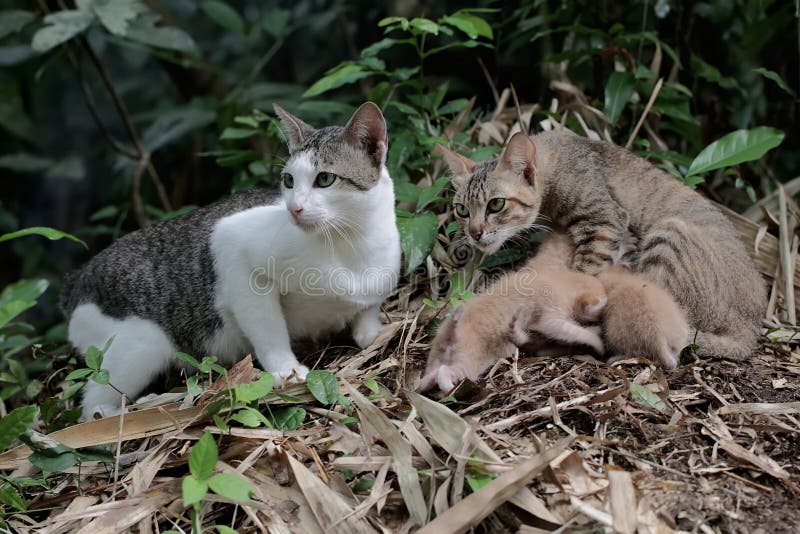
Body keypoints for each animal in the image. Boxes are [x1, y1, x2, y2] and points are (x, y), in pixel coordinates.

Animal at [61, 102, 400, 420]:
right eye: (289, 181)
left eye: (325, 178)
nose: (294, 209)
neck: (349, 243)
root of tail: (77, 278)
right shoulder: (234, 253)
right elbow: (268, 329)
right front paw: (285, 370)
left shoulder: (377, 282)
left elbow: (367, 313)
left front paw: (374, 332)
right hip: (141, 344)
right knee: (92, 404)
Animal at [418, 233, 608, 394]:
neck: (560, 281)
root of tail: (451, 334)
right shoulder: (550, 315)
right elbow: (570, 330)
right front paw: (597, 342)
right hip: (467, 362)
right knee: (445, 372)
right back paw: (449, 387)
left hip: (437, 358)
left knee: (425, 381)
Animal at [438, 132, 768, 362]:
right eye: (462, 210)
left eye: (496, 204)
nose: (474, 233)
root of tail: (751, 326)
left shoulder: (604, 223)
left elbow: (581, 276)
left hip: (669, 235)